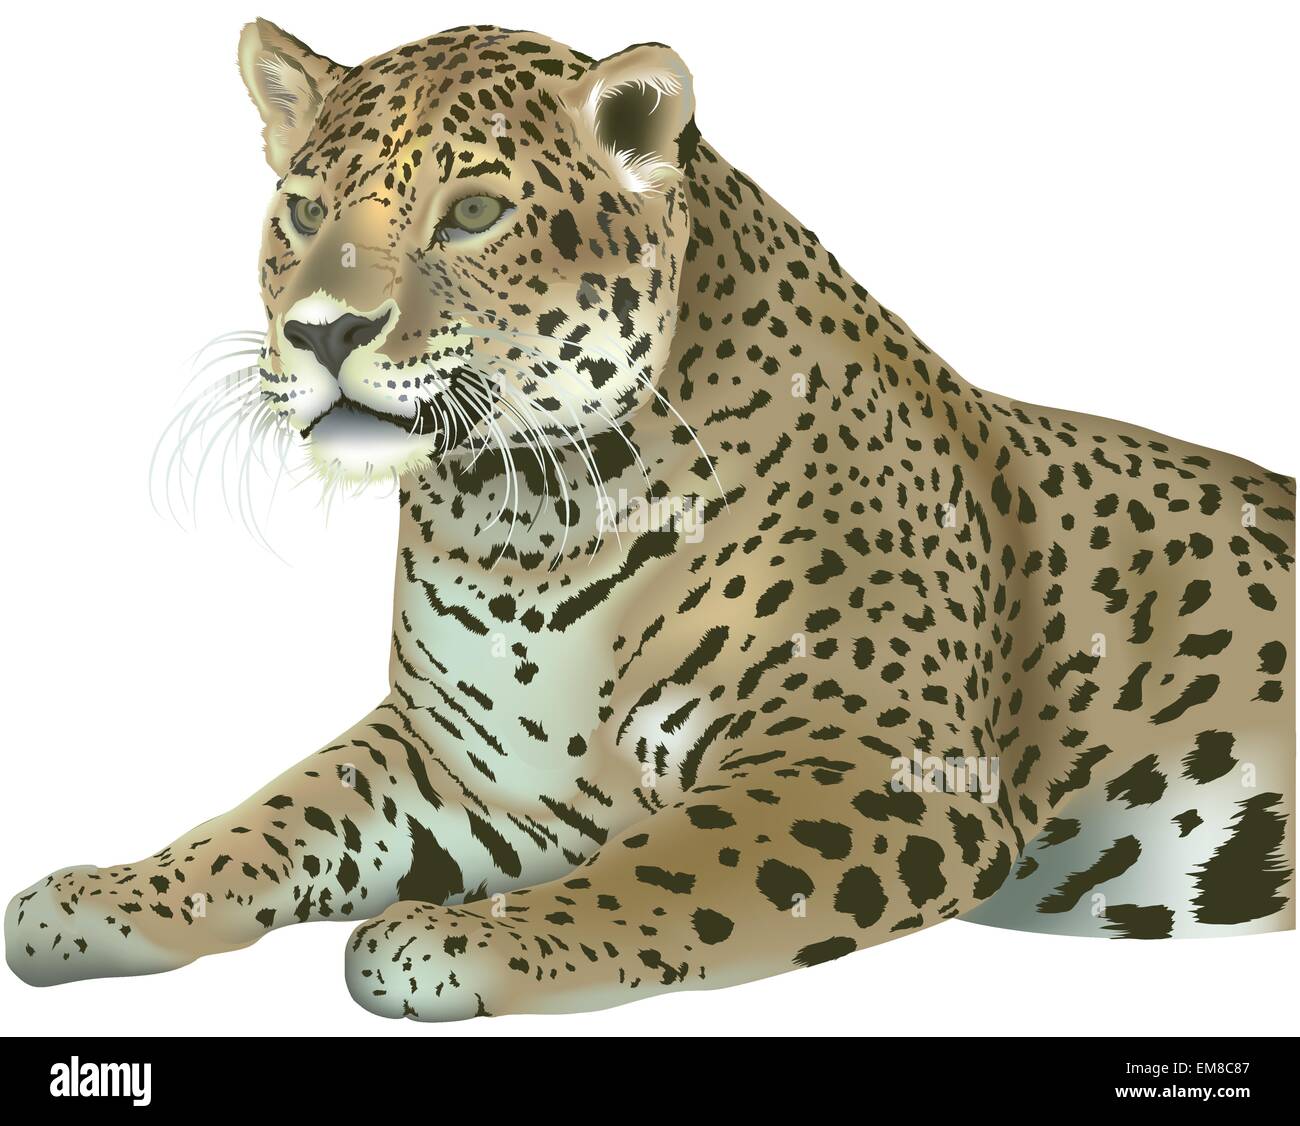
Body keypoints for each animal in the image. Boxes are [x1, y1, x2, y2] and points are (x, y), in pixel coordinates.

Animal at [5, 19, 1294, 1021]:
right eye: (304, 209)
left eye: (473, 211)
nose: (322, 330)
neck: (520, 517)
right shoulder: (460, 763)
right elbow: (272, 815)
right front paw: (100, 895)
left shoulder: (873, 766)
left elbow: (665, 872)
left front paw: (457, 939)